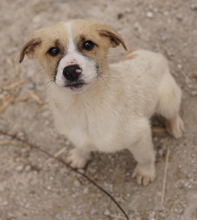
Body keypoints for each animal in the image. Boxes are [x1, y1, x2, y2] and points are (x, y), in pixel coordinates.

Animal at [19, 19, 184, 186]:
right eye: (53, 50)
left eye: (88, 44)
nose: (71, 71)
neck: (83, 106)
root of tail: (151, 54)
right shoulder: (77, 135)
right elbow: (81, 145)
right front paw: (79, 157)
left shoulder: (140, 134)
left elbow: (145, 157)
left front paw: (145, 172)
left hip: (167, 101)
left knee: (172, 113)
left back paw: (175, 126)